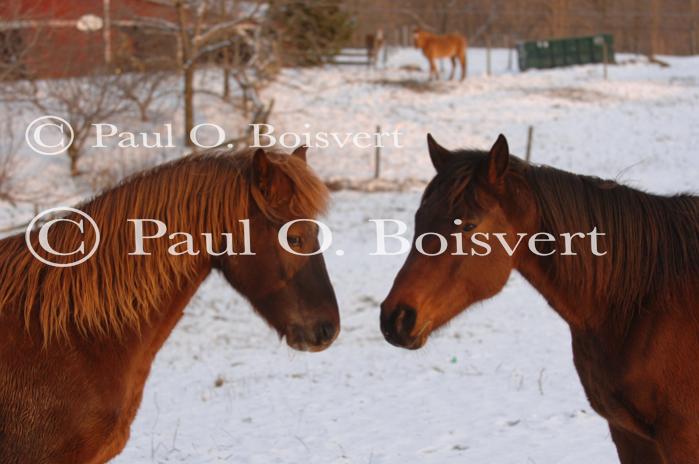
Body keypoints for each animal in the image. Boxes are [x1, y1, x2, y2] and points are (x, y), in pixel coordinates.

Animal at [381, 134, 699, 463]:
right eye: (419, 218)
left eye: (469, 225)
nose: (396, 317)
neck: (643, 304)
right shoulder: (629, 435)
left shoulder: (681, 438)